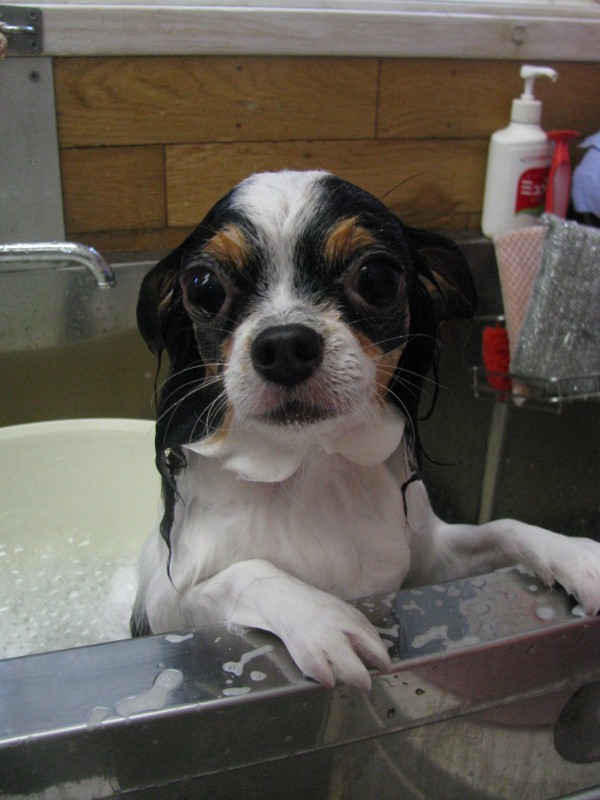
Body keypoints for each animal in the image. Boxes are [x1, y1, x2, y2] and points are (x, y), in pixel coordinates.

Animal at [132, 169, 600, 691]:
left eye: (377, 278)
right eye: (204, 288)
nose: (284, 344)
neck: (313, 466)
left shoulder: (429, 562)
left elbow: (502, 528)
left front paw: (576, 555)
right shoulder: (166, 605)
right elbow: (248, 572)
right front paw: (321, 619)